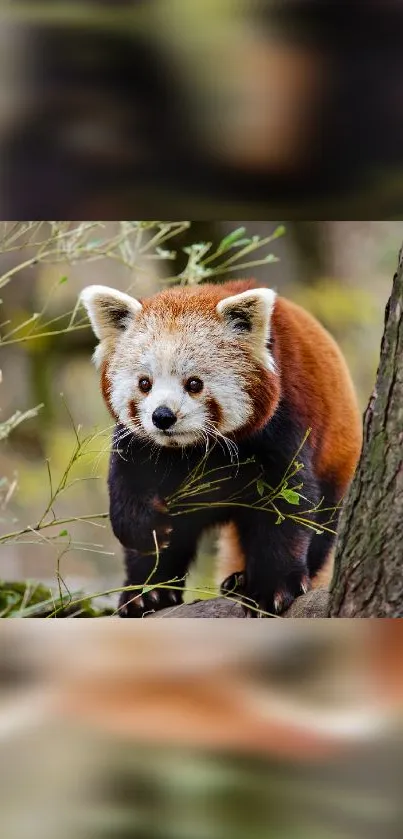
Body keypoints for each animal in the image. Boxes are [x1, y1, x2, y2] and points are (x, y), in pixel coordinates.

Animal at [80, 282, 364, 616]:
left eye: (194, 383)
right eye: (144, 383)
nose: (162, 416)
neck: (195, 449)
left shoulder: (285, 423)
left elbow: (288, 506)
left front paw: (273, 587)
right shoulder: (140, 445)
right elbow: (130, 490)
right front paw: (145, 531)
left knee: (322, 526)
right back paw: (148, 593)